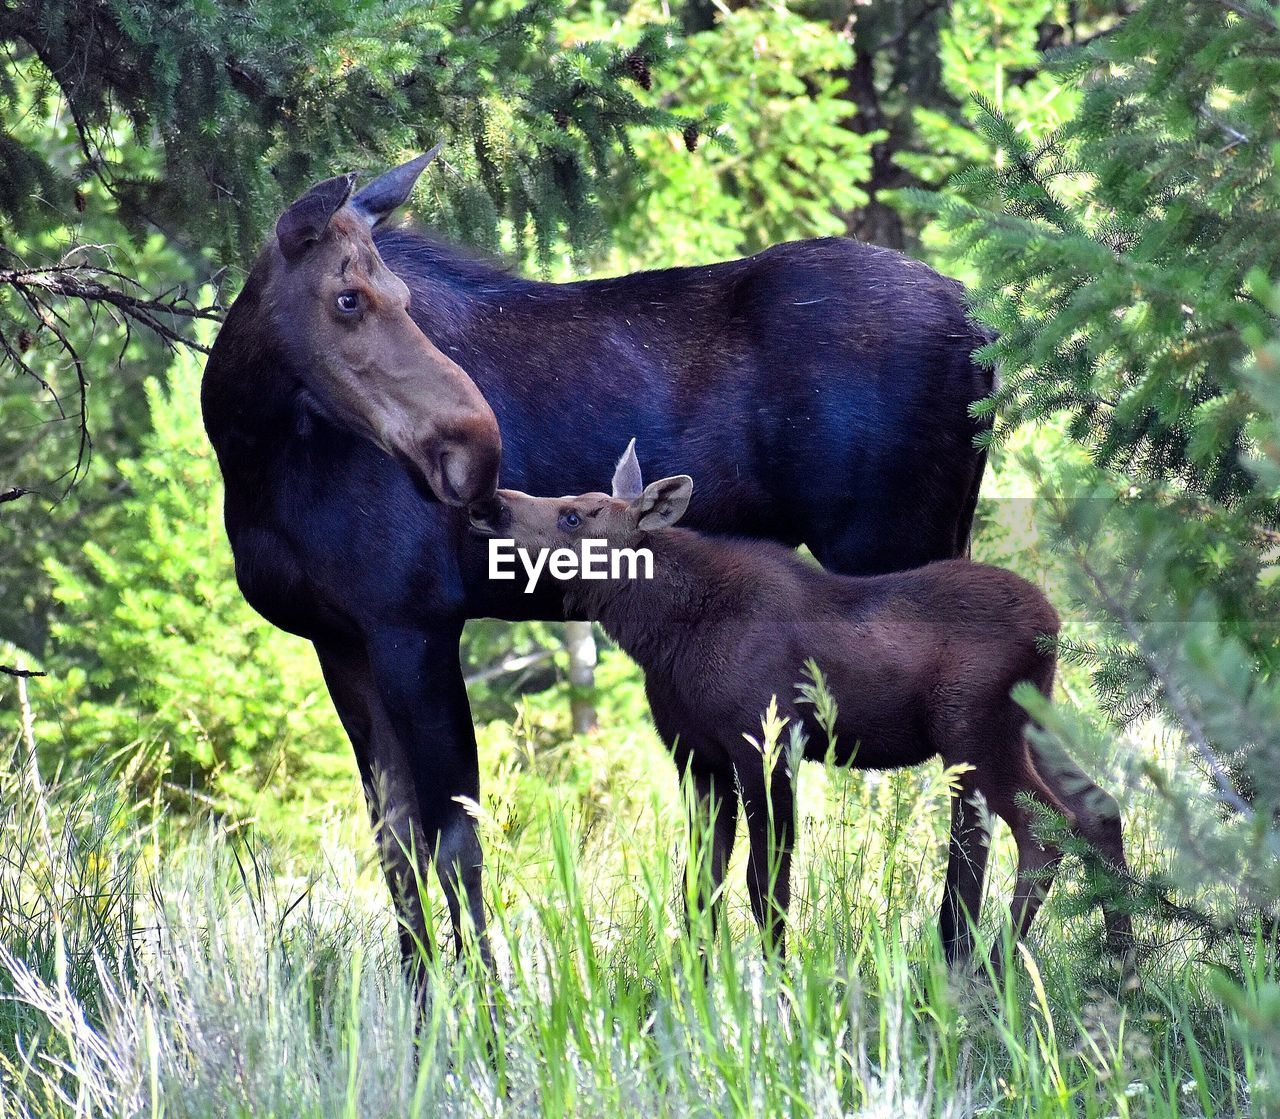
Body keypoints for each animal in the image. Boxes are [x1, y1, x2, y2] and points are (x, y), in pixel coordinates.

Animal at [202, 150, 1049, 983]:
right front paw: (421, 1004)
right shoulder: (340, 641)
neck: (254, 456)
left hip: (899, 556)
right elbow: (395, 846)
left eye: (403, 298)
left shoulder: (415, 623)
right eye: (347, 298)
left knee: (976, 791)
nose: (476, 449)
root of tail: (984, 327)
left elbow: (455, 839)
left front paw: (484, 1006)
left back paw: (962, 956)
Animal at [471, 440, 1131, 962]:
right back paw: (1120, 961)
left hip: (974, 732)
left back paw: (997, 967)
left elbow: (766, 884)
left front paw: (778, 990)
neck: (663, 635)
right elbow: (699, 886)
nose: (492, 504)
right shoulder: (698, 758)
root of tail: (1053, 627)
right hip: (1029, 729)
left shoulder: (766, 744)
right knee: (1099, 809)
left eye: (572, 517)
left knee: (1045, 833)